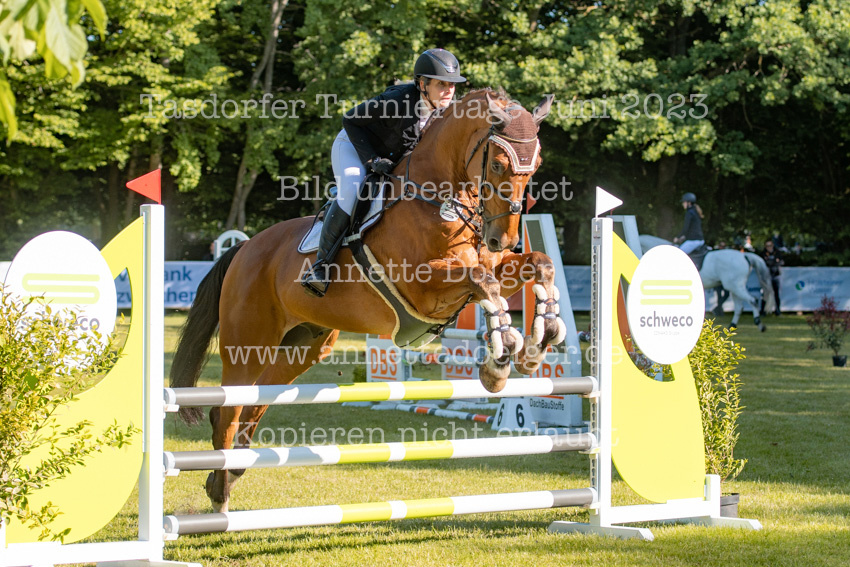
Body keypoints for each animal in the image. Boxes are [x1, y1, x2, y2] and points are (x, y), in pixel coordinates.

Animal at [170, 89, 568, 512]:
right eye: (496, 163)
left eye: (536, 164)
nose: (502, 239)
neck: (439, 199)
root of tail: (244, 248)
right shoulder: (424, 291)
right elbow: (482, 282)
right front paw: (500, 360)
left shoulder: (493, 268)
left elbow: (538, 266)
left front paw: (538, 343)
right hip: (248, 344)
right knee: (226, 412)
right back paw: (220, 494)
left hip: (302, 347)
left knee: (254, 405)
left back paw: (230, 475)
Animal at [639, 235, 775, 331]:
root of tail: (744, 255)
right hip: (734, 288)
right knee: (739, 307)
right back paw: (731, 327)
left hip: (735, 287)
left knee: (752, 300)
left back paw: (759, 324)